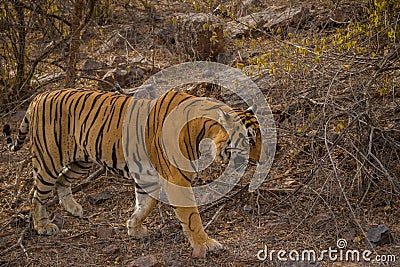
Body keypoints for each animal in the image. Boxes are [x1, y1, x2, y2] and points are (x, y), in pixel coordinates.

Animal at [3, 89, 260, 258]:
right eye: (250, 140)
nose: (261, 160)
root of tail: (38, 97)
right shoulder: (177, 180)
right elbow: (191, 217)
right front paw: (206, 244)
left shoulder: (149, 177)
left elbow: (145, 205)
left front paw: (133, 228)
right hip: (49, 160)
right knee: (36, 195)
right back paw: (43, 226)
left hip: (82, 160)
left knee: (62, 181)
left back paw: (73, 208)